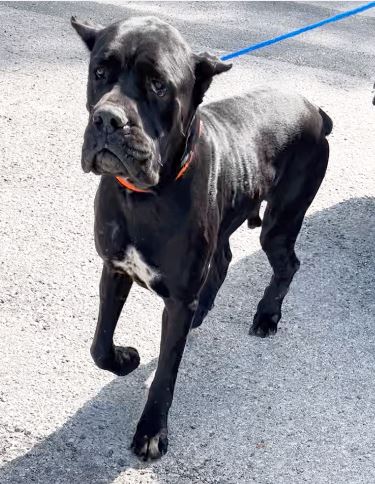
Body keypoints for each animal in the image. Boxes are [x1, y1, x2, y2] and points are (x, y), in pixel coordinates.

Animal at [72, 15, 334, 460]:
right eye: (100, 72)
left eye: (158, 84)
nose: (108, 119)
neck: (146, 195)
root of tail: (315, 109)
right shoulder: (115, 268)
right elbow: (99, 345)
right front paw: (124, 359)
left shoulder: (176, 300)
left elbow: (165, 374)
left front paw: (152, 431)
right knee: (224, 258)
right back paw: (207, 309)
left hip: (280, 222)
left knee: (288, 264)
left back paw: (267, 315)